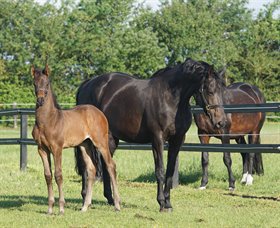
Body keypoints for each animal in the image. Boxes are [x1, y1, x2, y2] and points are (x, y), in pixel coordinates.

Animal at [30, 64, 120, 214]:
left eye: (47, 83)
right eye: (34, 84)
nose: (40, 100)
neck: (49, 120)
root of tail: (99, 113)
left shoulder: (57, 148)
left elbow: (58, 175)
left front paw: (61, 208)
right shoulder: (41, 149)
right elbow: (48, 175)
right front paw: (50, 209)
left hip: (101, 143)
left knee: (110, 166)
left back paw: (117, 204)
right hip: (85, 145)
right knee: (91, 169)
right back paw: (85, 206)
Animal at [75, 58, 228, 211]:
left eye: (222, 92)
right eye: (210, 91)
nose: (221, 122)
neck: (171, 99)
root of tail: (87, 84)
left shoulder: (177, 140)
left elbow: (170, 171)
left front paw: (168, 203)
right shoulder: (157, 139)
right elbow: (160, 170)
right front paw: (161, 203)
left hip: (110, 139)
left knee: (106, 165)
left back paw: (111, 199)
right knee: (86, 165)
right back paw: (85, 196)